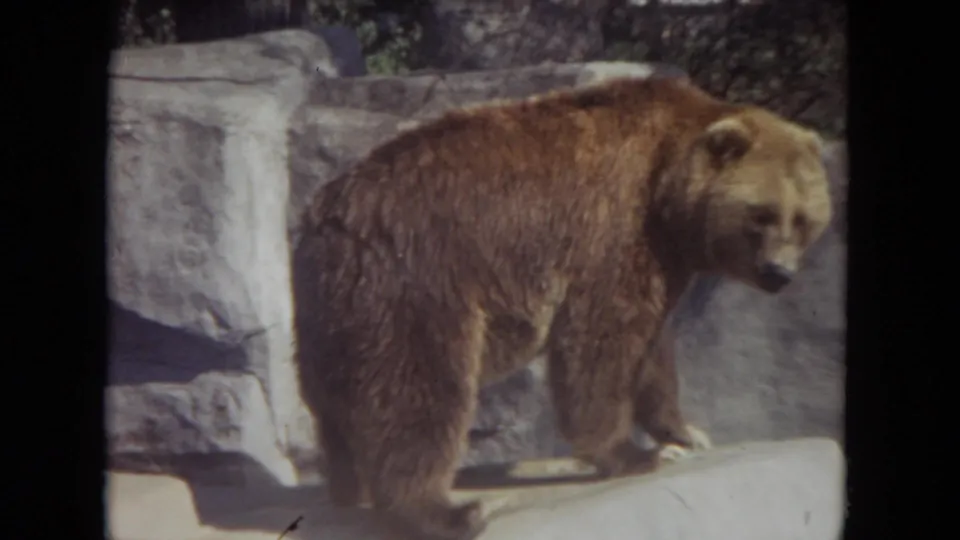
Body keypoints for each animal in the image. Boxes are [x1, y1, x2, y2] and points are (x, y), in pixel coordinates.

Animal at [292, 76, 831, 540]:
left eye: (804, 218)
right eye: (762, 214)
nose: (779, 273)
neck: (668, 197)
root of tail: (328, 216)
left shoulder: (660, 259)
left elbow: (652, 349)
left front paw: (684, 433)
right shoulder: (615, 230)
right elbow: (602, 342)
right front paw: (631, 453)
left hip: (331, 312)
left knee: (337, 403)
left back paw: (349, 487)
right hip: (416, 281)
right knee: (418, 392)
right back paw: (447, 511)